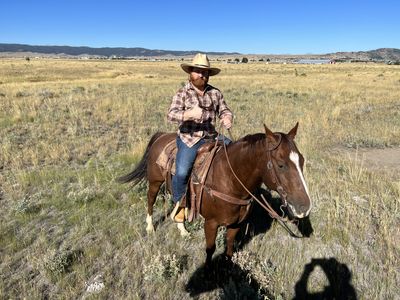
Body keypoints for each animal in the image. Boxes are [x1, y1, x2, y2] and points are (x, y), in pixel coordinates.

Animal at [119, 123, 312, 264]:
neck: (230, 180)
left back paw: (183, 231)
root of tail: (161, 135)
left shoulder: (236, 224)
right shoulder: (210, 223)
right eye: (281, 164)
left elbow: (229, 245)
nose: (304, 207)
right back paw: (150, 227)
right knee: (150, 201)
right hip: (154, 182)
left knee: (178, 204)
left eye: (302, 160)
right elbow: (210, 249)